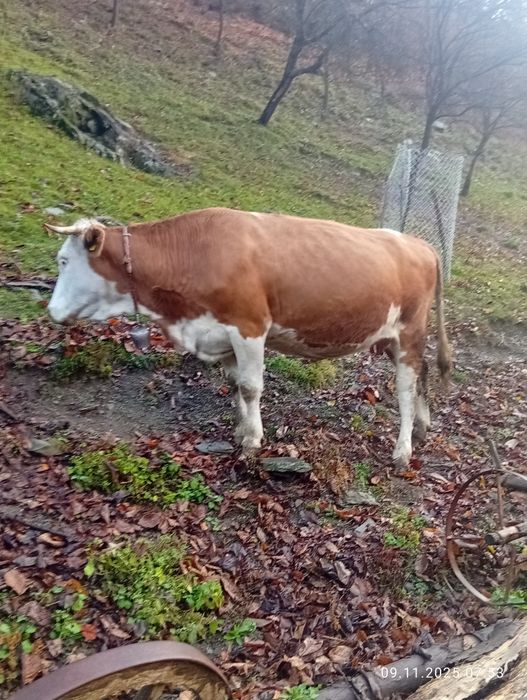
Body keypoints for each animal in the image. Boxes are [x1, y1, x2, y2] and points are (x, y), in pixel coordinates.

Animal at [45, 207, 452, 467]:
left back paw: (403, 450)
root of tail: (419, 244)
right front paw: (241, 429)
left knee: (405, 388)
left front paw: (253, 440)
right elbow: (236, 383)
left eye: (64, 261)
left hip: (409, 332)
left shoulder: (250, 326)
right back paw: (423, 426)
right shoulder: (219, 332)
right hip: (394, 339)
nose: (51, 311)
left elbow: (252, 386)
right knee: (423, 375)